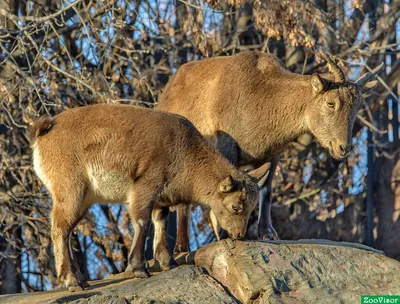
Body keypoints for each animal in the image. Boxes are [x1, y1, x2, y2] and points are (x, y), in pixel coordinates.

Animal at [32, 104, 262, 290]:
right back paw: (71, 281)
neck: (184, 153)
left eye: (252, 208)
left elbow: (160, 221)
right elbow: (142, 223)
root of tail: (44, 132)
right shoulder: (145, 187)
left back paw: (81, 280)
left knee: (68, 230)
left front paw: (167, 261)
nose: (239, 234)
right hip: (71, 190)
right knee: (59, 228)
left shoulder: (161, 199)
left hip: (84, 200)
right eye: (235, 207)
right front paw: (140, 268)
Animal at [157, 50, 384, 249]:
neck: (261, 97)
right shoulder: (225, 148)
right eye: (330, 103)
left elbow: (267, 190)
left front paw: (267, 233)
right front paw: (223, 233)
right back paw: (181, 246)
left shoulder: (273, 154)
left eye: (356, 107)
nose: (343, 147)